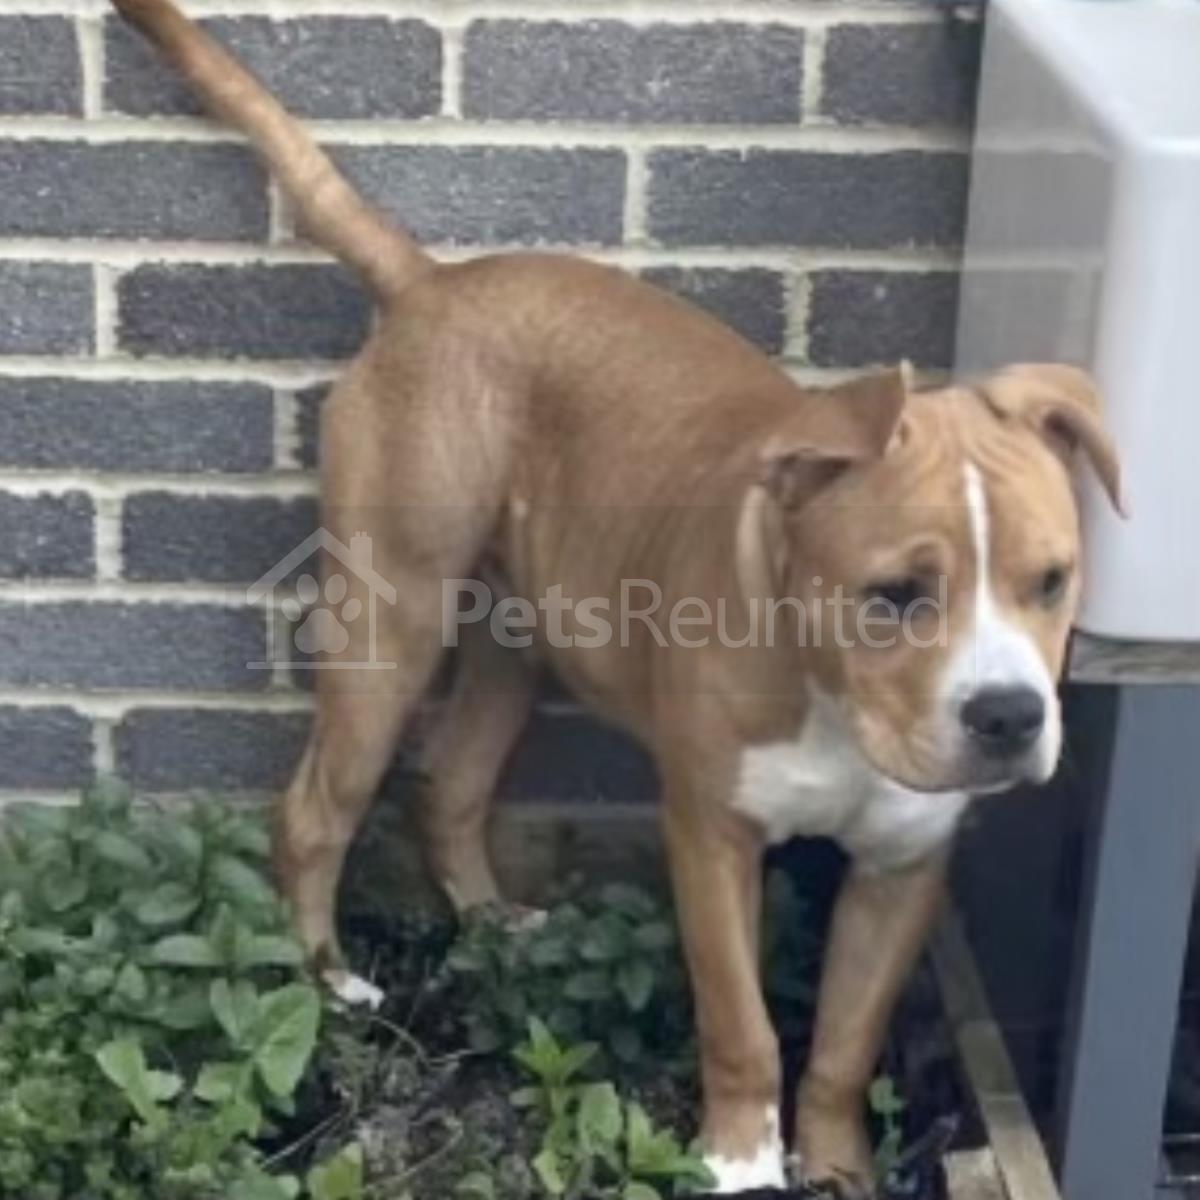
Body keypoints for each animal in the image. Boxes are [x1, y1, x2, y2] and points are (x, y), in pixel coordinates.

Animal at [111, 1, 1123, 1193]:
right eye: (894, 593)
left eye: (1051, 581)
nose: (1008, 716)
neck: (829, 696)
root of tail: (431, 284)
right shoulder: (711, 834)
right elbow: (743, 1025)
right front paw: (740, 1163)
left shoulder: (904, 866)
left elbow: (842, 1041)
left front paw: (837, 1167)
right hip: (390, 617)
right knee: (317, 810)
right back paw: (327, 985)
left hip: (516, 640)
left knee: (451, 787)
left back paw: (495, 926)